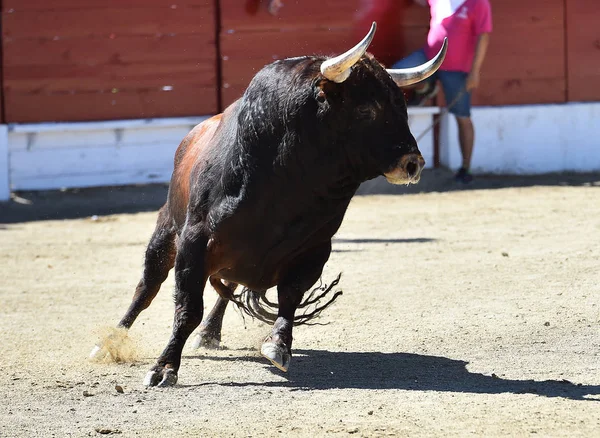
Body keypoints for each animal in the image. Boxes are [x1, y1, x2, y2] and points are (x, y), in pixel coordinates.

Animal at [90, 24, 446, 386]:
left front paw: (278, 345)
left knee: (226, 287)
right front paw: (163, 368)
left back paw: (210, 334)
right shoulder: (194, 242)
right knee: (147, 287)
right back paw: (109, 343)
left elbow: (289, 296)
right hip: (165, 232)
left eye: (402, 107)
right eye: (366, 110)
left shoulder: (314, 250)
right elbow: (187, 308)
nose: (413, 164)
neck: (288, 179)